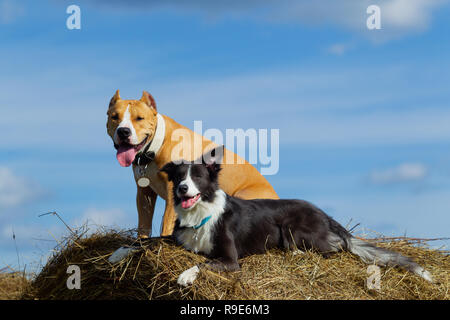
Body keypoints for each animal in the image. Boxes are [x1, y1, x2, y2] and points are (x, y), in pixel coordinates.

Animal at [107, 90, 280, 238]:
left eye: (139, 118)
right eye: (114, 117)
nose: (123, 131)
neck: (156, 145)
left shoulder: (173, 190)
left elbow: (166, 224)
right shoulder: (144, 192)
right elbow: (144, 225)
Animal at [161, 146, 432, 286]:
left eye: (197, 177)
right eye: (179, 177)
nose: (182, 188)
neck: (201, 211)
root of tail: (323, 213)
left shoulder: (230, 260)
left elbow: (203, 263)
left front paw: (185, 275)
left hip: (292, 227)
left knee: (335, 248)